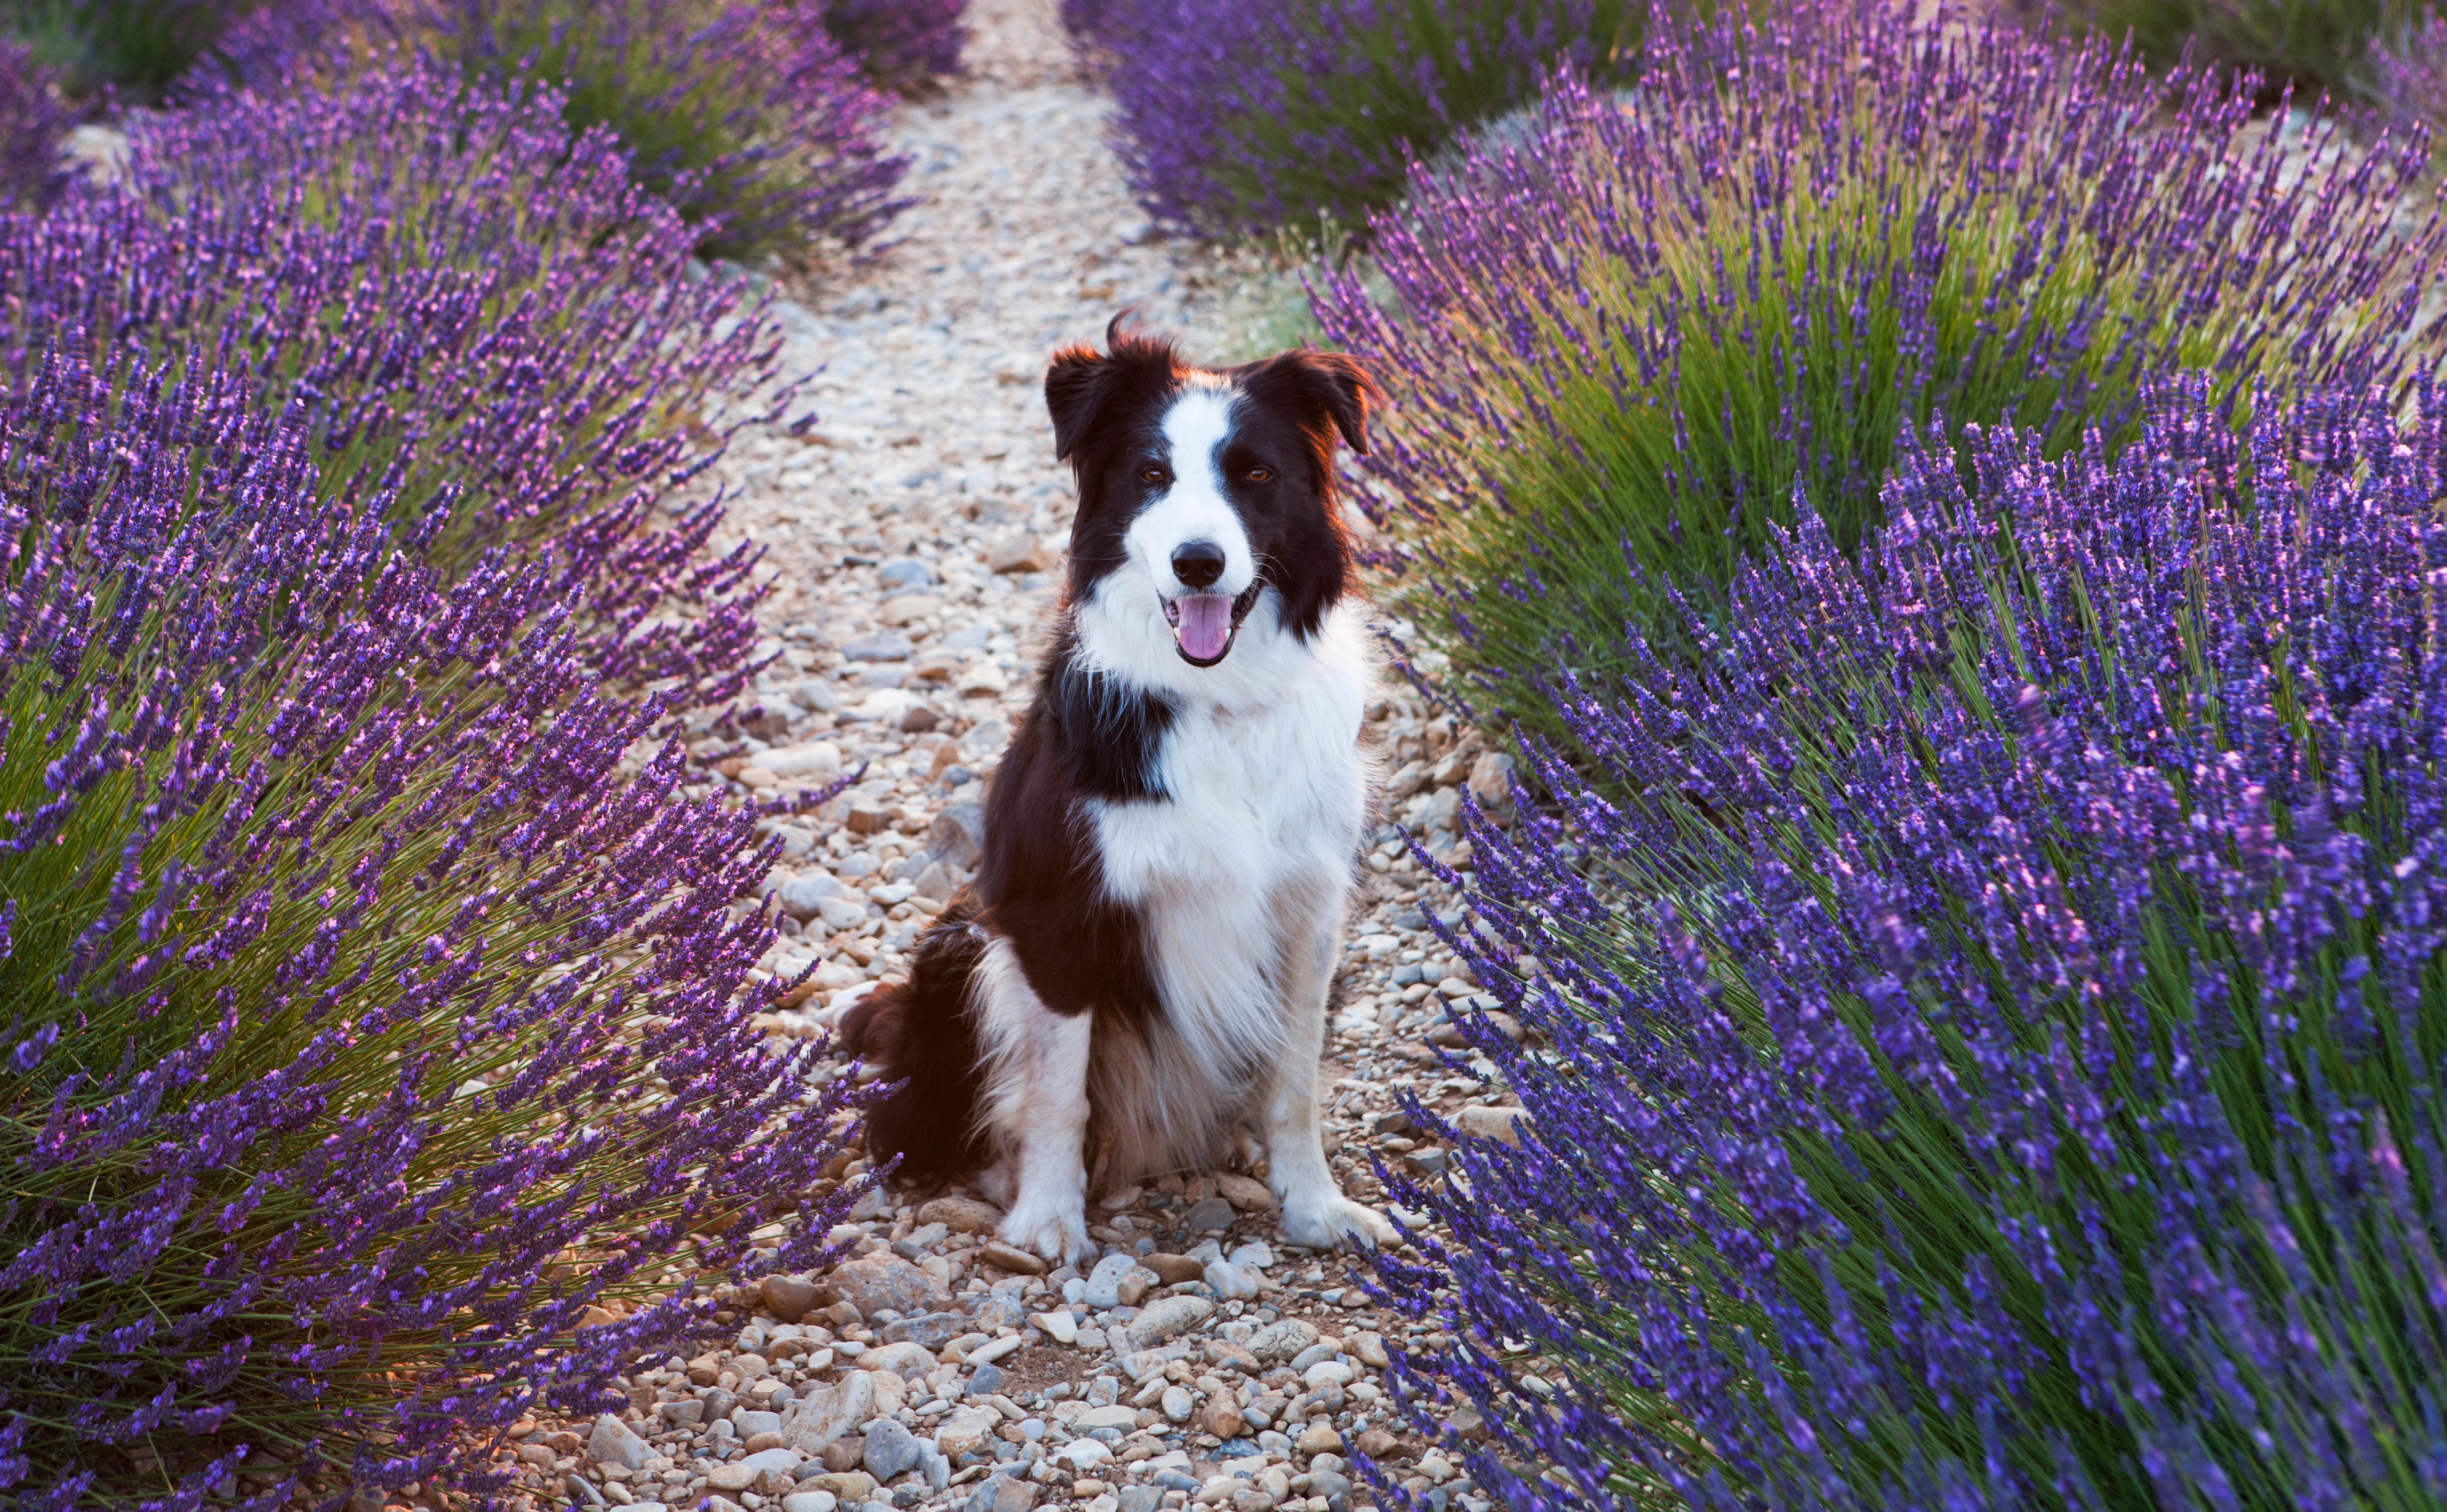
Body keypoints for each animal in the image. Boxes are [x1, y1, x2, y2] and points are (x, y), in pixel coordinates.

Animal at [837, 318, 1399, 1262]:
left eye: (1255, 474)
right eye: (1151, 474)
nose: (1198, 563)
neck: (1219, 702)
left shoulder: (1309, 912)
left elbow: (1295, 1082)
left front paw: (1315, 1204)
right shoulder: (1055, 914)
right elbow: (1056, 1091)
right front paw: (1046, 1218)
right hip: (965, 943)